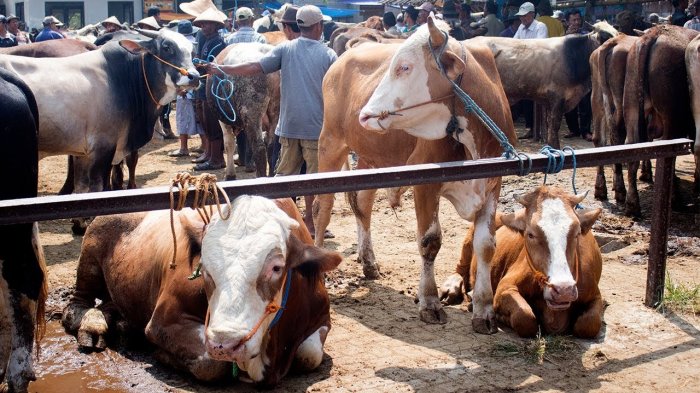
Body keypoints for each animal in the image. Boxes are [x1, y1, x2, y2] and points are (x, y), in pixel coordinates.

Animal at [63, 194, 342, 384]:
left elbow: (309, 354)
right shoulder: (164, 321)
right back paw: (91, 325)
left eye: (276, 267)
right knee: (77, 303)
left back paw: (121, 325)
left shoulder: (321, 318)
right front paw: (163, 356)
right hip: (90, 256)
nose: (225, 344)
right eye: (204, 267)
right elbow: (210, 364)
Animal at [454, 186, 600, 336]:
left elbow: (589, 323)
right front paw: (500, 316)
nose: (563, 290)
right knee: (461, 268)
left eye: (577, 233)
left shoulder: (595, 295)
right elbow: (525, 317)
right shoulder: (506, 286)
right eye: (530, 234)